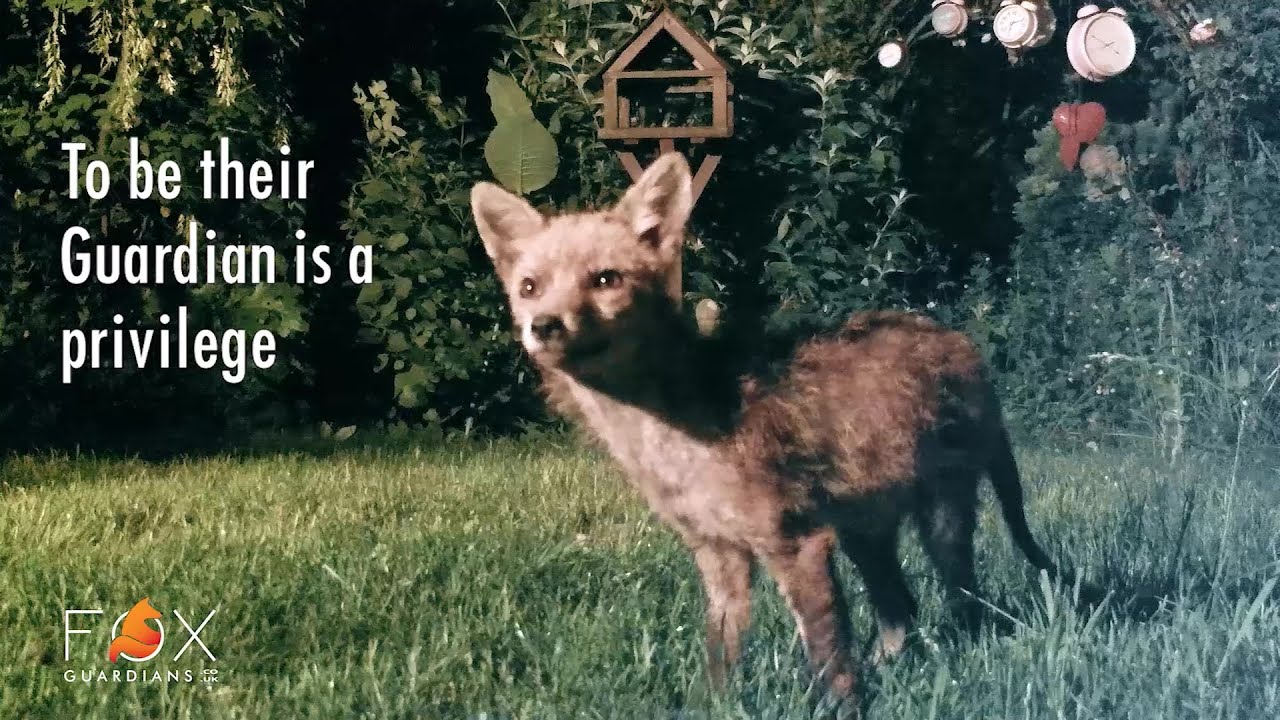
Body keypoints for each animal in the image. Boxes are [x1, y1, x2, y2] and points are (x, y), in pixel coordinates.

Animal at [470, 152, 1058, 707]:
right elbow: (720, 656)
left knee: (966, 608)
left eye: (605, 280)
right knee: (901, 612)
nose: (544, 326)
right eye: (529, 287)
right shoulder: (719, 555)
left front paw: (844, 709)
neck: (675, 433)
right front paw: (712, 707)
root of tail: (954, 338)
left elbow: (829, 660)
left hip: (941, 523)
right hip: (865, 534)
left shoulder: (796, 543)